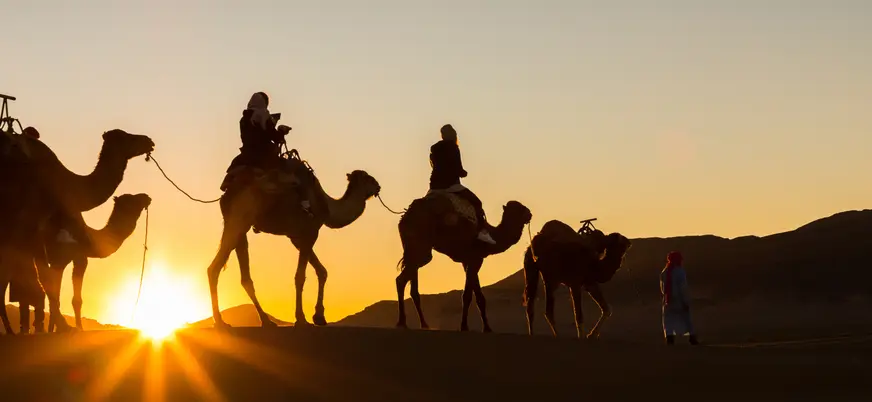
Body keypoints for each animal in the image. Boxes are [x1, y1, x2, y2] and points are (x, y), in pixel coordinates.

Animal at [0, 130, 154, 334]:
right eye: (128, 137)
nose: (149, 141)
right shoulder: (66, 252)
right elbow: (61, 292)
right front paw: (69, 328)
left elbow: (55, 292)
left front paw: (57, 328)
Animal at [207, 157, 381, 328]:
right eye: (368, 178)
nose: (378, 186)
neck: (326, 206)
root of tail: (226, 195)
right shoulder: (311, 232)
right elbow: (300, 276)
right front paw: (301, 319)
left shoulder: (296, 238)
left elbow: (322, 271)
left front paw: (319, 317)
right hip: (239, 219)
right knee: (215, 268)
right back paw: (221, 322)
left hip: (240, 227)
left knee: (242, 276)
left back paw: (263, 321)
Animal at [395, 193, 532, 332]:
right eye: (519, 208)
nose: (529, 214)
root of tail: (404, 217)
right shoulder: (475, 259)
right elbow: (467, 295)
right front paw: (465, 326)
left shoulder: (469, 260)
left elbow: (478, 296)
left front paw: (486, 327)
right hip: (421, 248)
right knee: (401, 279)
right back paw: (402, 322)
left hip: (413, 249)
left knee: (410, 281)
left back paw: (422, 324)